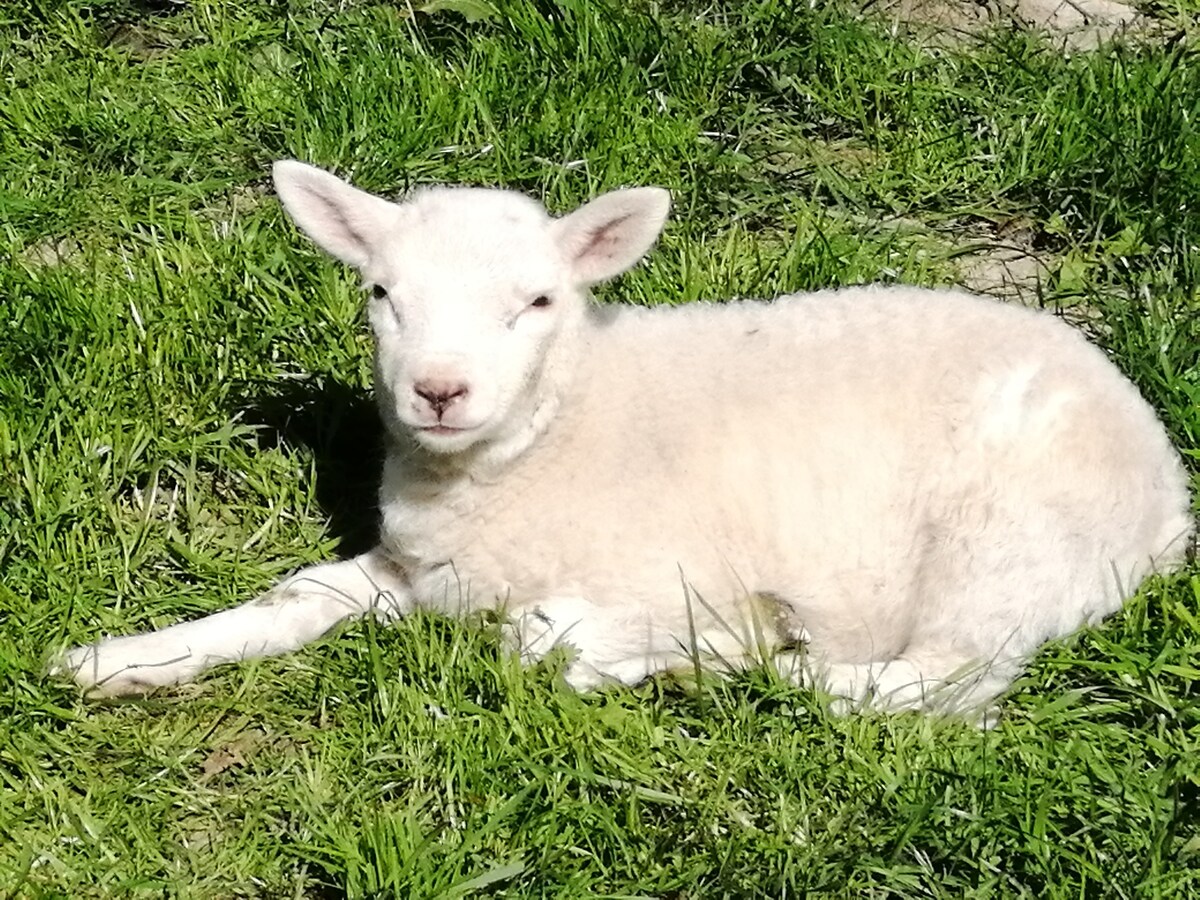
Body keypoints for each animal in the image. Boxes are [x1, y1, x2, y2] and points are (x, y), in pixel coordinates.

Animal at [58, 158, 1200, 715]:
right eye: (381, 293)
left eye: (538, 300)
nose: (439, 390)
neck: (560, 431)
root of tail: (1166, 490)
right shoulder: (427, 567)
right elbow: (295, 598)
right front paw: (124, 660)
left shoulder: (658, 569)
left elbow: (545, 642)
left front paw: (687, 647)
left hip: (1005, 541)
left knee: (940, 684)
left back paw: (754, 664)